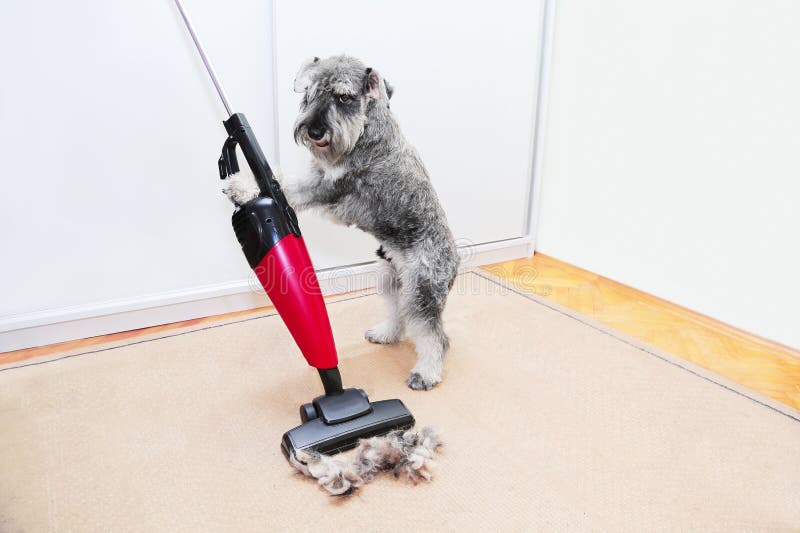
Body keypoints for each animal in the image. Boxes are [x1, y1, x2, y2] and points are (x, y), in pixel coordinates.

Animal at [227, 55, 462, 390]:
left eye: (344, 97)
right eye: (309, 92)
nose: (314, 131)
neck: (366, 132)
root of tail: (455, 260)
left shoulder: (328, 187)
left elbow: (286, 187)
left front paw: (242, 186)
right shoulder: (319, 175)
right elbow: (280, 179)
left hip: (422, 291)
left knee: (434, 336)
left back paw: (426, 373)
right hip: (392, 281)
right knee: (400, 315)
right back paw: (385, 334)